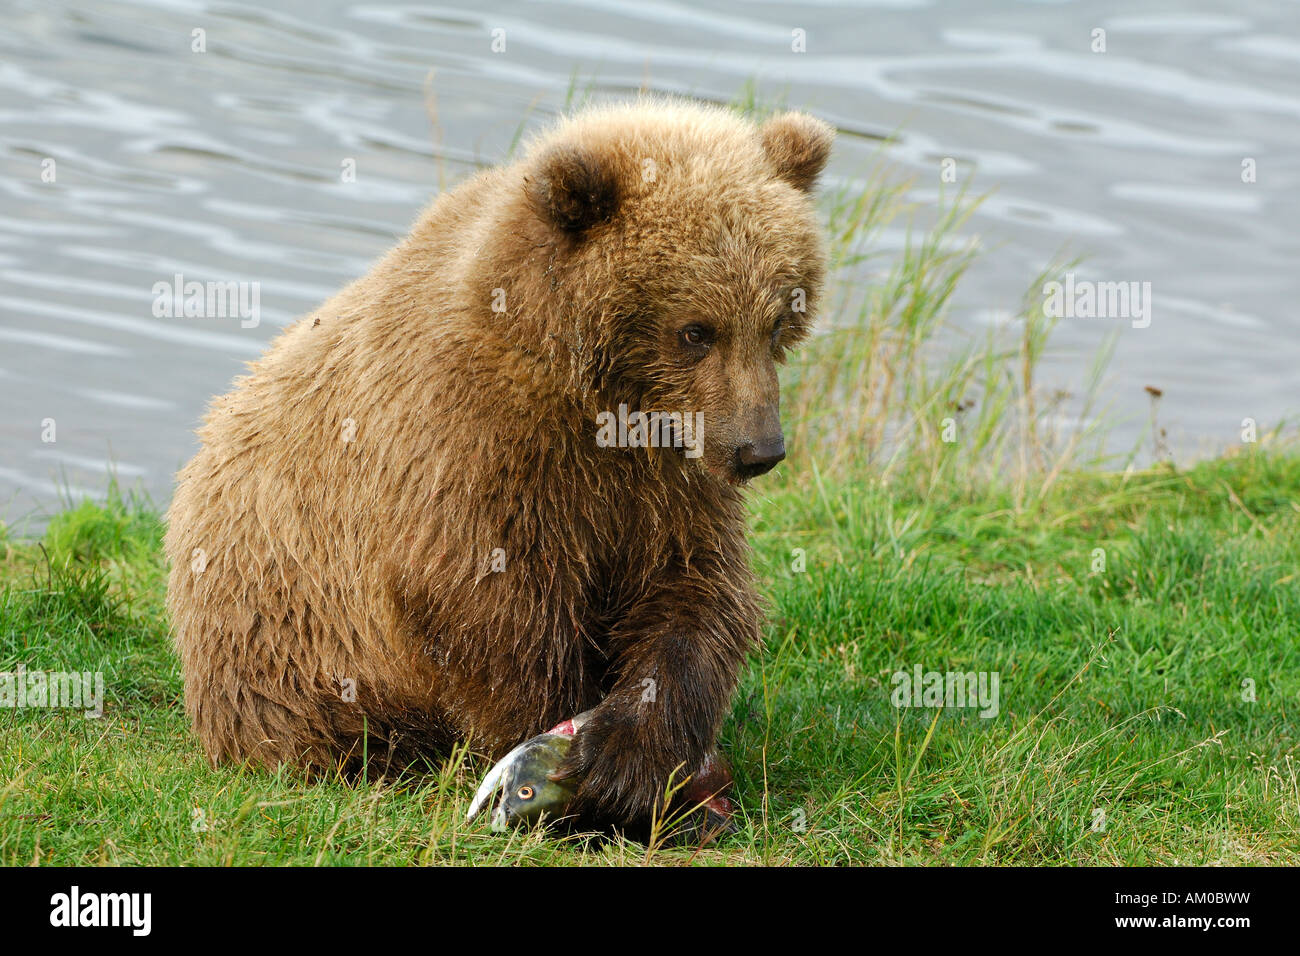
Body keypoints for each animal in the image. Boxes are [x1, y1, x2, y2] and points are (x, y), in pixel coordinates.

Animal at [165, 100, 832, 827]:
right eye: (695, 331)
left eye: (778, 319)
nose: (759, 450)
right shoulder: (473, 441)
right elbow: (482, 597)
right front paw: (559, 743)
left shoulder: (662, 479)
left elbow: (693, 591)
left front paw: (628, 758)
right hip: (290, 643)